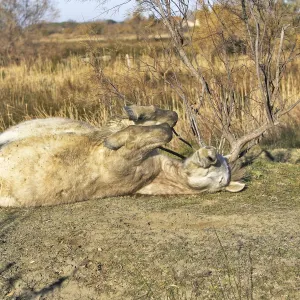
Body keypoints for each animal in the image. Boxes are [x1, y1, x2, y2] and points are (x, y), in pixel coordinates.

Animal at [0, 105, 244, 206]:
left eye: (221, 179)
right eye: (217, 161)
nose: (210, 155)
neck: (157, 174)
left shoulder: (120, 161)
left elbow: (164, 131)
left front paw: (113, 140)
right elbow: (169, 119)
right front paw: (136, 112)